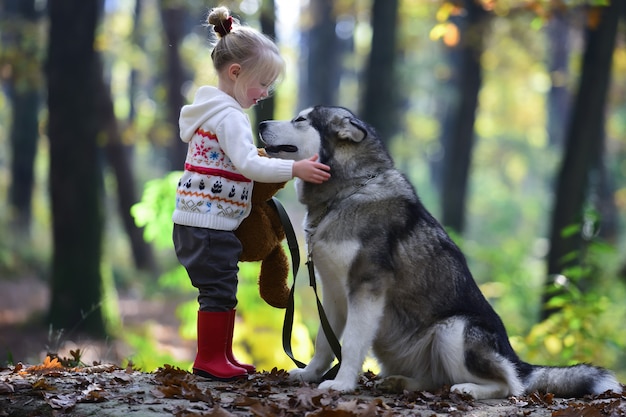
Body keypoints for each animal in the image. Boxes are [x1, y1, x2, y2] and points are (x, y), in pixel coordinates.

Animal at [258, 105, 620, 398]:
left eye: (300, 119)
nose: (260, 122)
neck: (346, 193)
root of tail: (516, 357)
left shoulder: (366, 288)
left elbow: (351, 344)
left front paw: (342, 384)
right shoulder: (333, 292)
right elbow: (324, 341)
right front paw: (309, 374)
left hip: (453, 330)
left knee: (509, 385)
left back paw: (470, 389)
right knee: (437, 380)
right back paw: (402, 382)